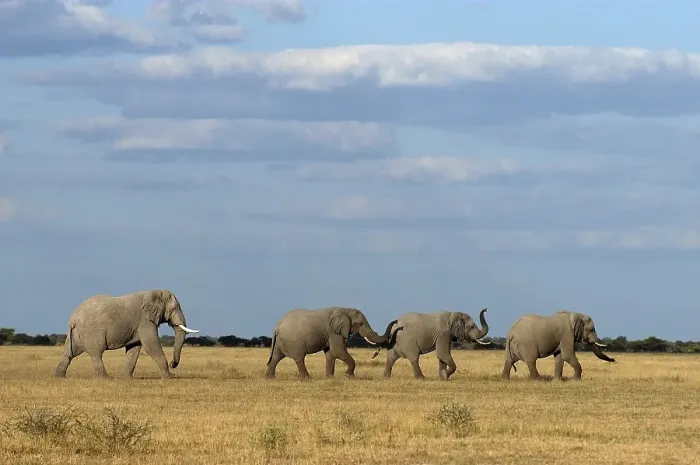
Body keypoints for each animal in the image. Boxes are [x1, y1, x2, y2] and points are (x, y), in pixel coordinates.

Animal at [54, 289, 199, 379]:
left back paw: (59, 377)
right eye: (175, 308)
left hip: (75, 335)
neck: (154, 292)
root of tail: (73, 319)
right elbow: (151, 344)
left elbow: (134, 348)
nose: (172, 364)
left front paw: (127, 379)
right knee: (96, 354)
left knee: (69, 354)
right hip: (91, 332)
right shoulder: (144, 320)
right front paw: (169, 377)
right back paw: (107, 379)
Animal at [265, 306, 402, 379]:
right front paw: (349, 376)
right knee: (299, 358)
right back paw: (307, 378)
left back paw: (270, 378)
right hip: (294, 340)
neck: (344, 309)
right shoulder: (334, 332)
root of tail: (277, 326)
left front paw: (330, 378)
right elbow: (338, 351)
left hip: (281, 341)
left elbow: (331, 353)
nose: (396, 321)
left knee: (276, 357)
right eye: (360, 324)